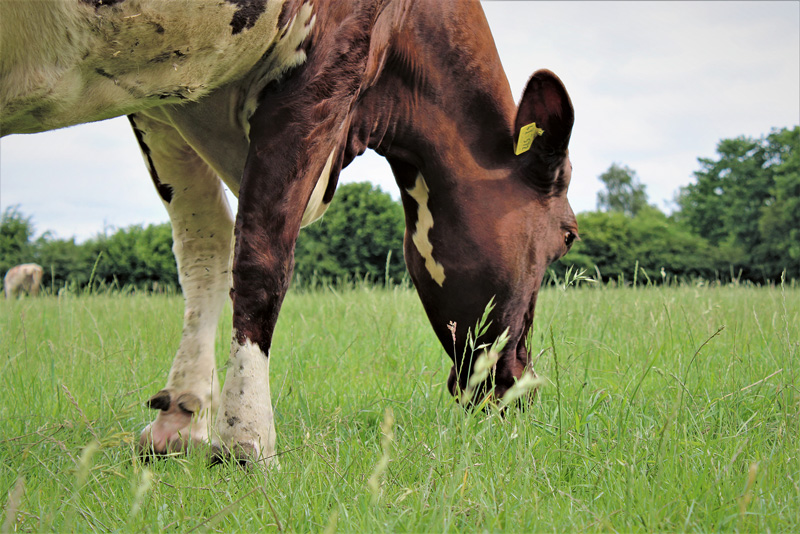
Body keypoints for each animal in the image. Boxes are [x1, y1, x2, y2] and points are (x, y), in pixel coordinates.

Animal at [0, 0, 580, 466]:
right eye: (567, 236)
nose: (525, 388)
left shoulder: (163, 96)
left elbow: (205, 250)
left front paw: (183, 419)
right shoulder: (323, 65)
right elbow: (261, 255)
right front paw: (245, 441)